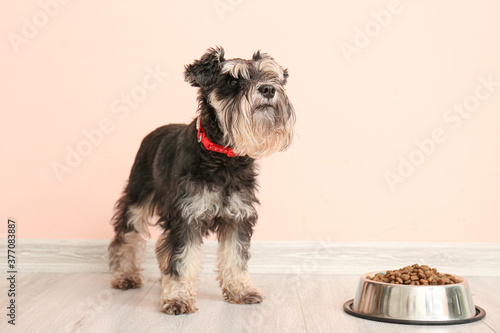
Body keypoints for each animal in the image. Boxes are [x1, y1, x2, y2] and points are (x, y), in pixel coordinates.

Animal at [107, 46, 294, 314]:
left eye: (272, 76)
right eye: (233, 81)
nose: (268, 89)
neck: (222, 156)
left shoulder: (238, 218)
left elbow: (235, 257)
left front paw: (241, 290)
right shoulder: (185, 217)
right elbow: (181, 260)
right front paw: (177, 298)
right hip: (136, 200)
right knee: (126, 237)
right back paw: (124, 276)